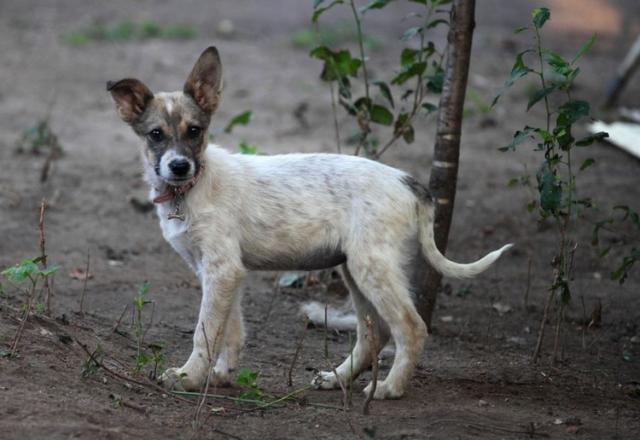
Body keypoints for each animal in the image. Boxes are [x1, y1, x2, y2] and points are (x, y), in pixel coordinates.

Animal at [107, 47, 512, 398]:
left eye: (195, 131)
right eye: (156, 135)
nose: (179, 166)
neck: (190, 188)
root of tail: (408, 182)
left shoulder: (222, 268)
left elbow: (205, 331)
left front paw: (189, 377)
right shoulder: (219, 271)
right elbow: (230, 329)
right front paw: (221, 375)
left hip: (372, 267)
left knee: (410, 329)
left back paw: (389, 389)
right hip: (354, 270)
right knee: (373, 336)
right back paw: (337, 379)